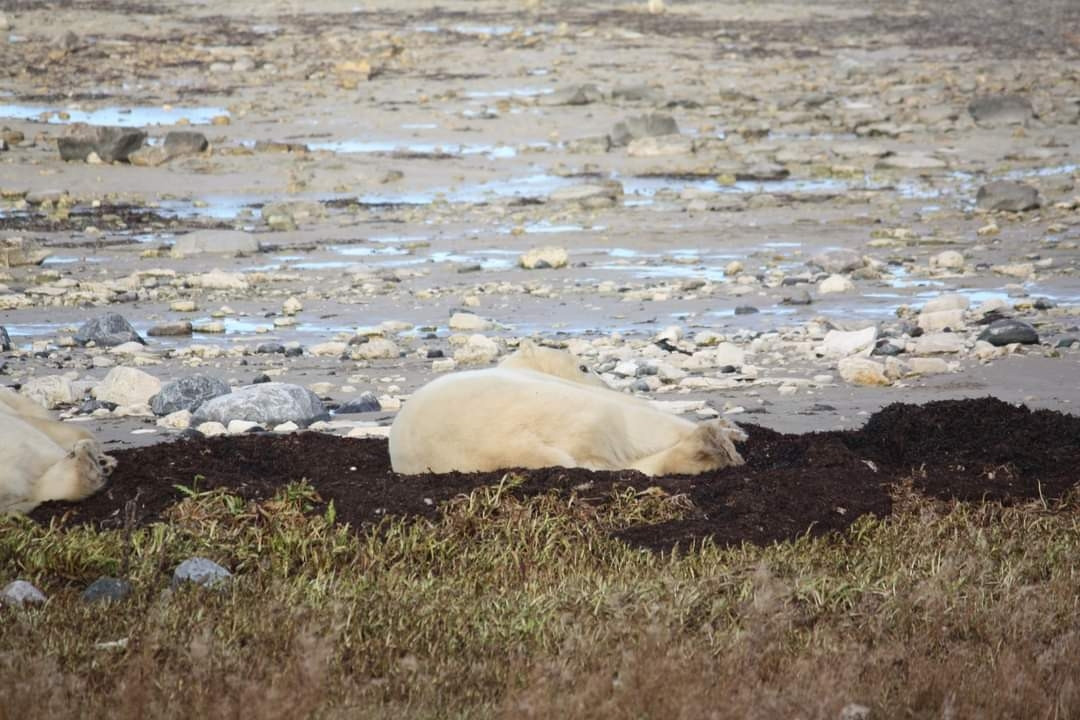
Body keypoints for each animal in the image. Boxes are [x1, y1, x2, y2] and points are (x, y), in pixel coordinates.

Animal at [390, 343, 751, 479]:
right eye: (584, 366)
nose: (607, 383)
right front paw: (732, 428)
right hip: (564, 409)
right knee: (632, 425)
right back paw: (716, 443)